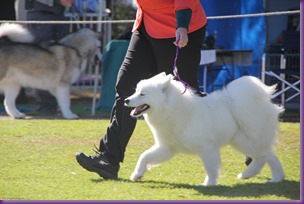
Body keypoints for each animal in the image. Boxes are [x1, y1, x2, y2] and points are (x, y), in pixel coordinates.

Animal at [123, 72, 284, 186]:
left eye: (142, 94)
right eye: (136, 91)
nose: (126, 100)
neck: (177, 111)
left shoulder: (207, 148)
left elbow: (211, 169)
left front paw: (209, 184)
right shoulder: (167, 148)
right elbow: (144, 156)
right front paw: (137, 174)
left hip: (245, 140)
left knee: (262, 156)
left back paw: (248, 174)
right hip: (243, 141)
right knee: (270, 156)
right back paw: (276, 178)